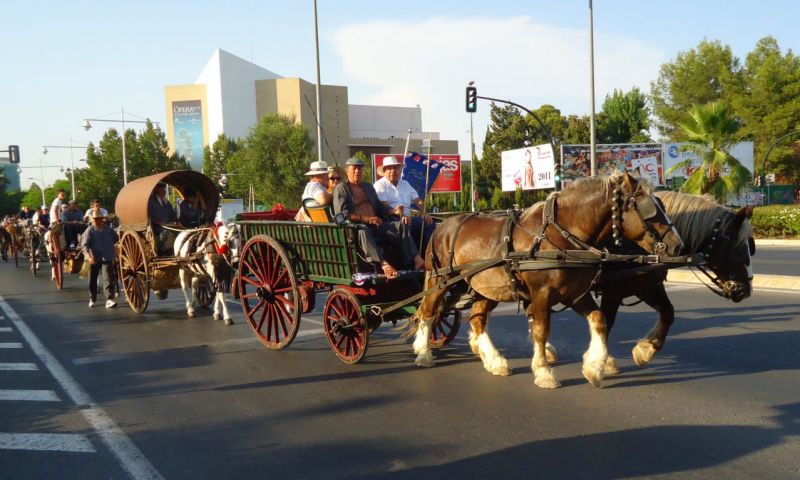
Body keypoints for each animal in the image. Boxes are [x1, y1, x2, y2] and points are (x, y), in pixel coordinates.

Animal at [410, 171, 684, 388]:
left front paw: (595, 366)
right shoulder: (542, 293)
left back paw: (494, 360)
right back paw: (423, 353)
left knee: (477, 318)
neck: (561, 236)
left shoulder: (575, 293)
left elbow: (599, 320)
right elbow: (542, 331)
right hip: (439, 280)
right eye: (649, 210)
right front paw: (544, 372)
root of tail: (443, 225)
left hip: (489, 287)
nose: (677, 245)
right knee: (428, 312)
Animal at [588, 191, 756, 376]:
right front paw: (605, 361)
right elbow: (607, 323)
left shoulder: (648, 286)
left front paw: (645, 351)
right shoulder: (613, 291)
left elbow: (668, 313)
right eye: (736, 245)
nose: (744, 290)